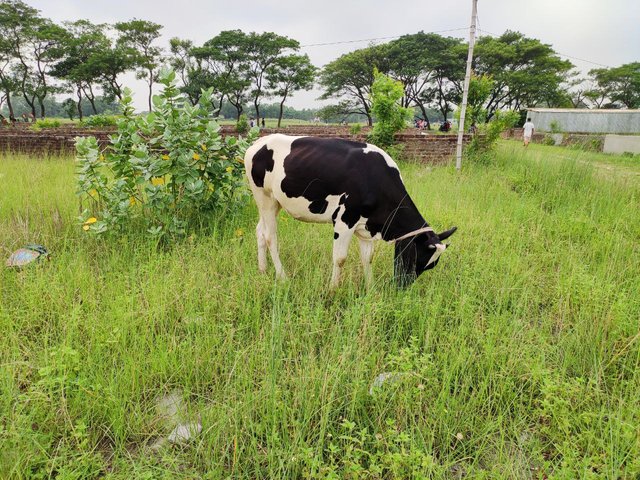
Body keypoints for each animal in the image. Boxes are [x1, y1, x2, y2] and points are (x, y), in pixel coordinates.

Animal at [242, 133, 458, 286]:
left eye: (429, 266)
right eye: (415, 259)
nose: (401, 287)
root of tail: (258, 142)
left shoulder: (366, 225)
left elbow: (367, 258)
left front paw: (370, 289)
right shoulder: (344, 220)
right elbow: (340, 258)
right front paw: (332, 289)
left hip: (274, 202)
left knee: (260, 231)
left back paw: (262, 270)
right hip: (264, 197)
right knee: (270, 236)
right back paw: (282, 276)